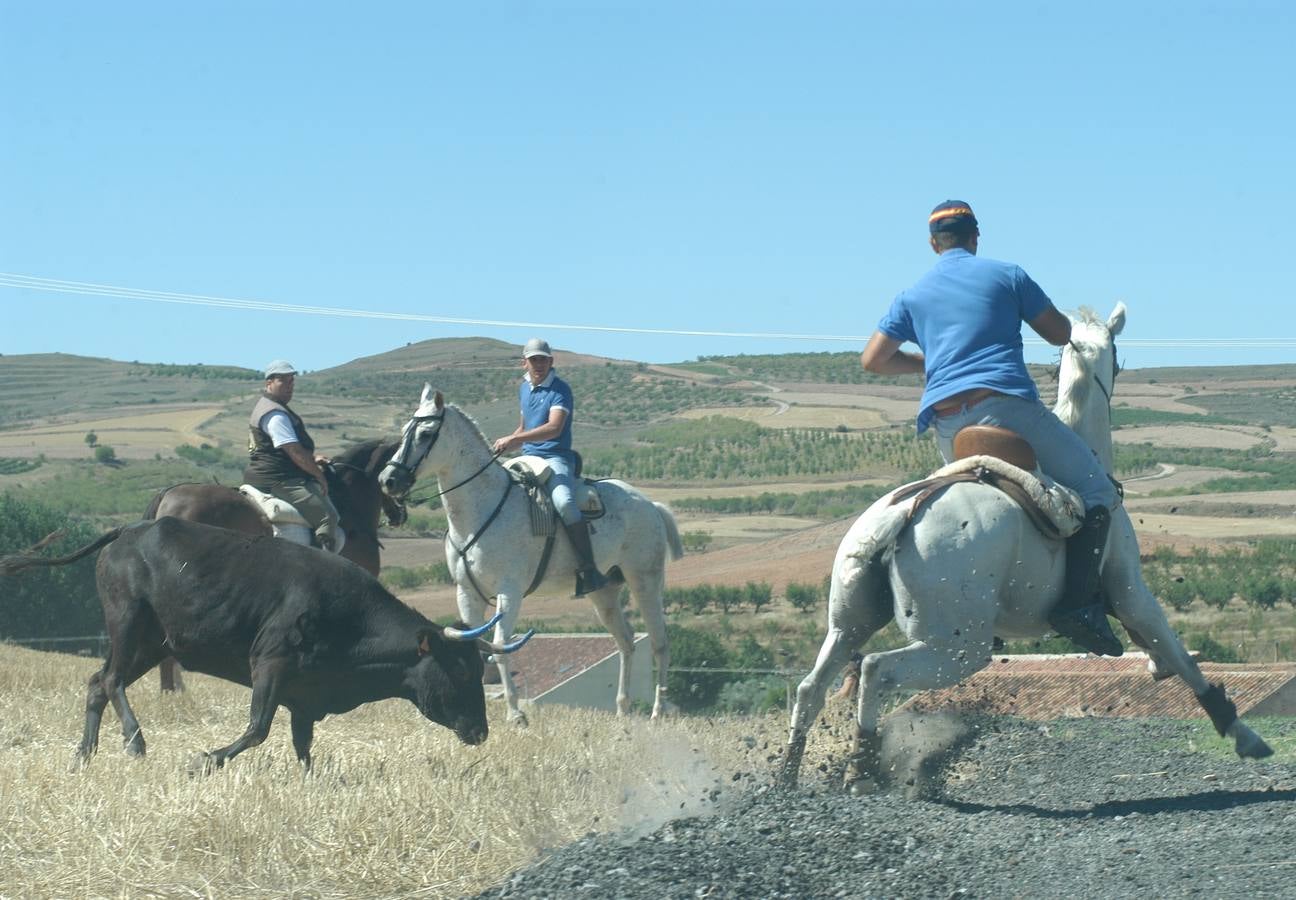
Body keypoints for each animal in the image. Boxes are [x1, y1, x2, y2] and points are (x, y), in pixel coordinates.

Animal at [2, 518, 531, 772]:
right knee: (110, 680)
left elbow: (303, 747)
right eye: (460, 671)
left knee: (97, 682)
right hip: (128, 623)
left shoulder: (305, 698)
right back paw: (134, 742)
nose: (480, 732)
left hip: (154, 642)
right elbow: (257, 729)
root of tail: (129, 531)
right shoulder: (270, 665)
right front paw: (205, 761)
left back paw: (83, 756)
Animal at [378, 389, 684, 726]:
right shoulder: (466, 592)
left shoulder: (509, 592)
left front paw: (515, 714)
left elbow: (500, 646)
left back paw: (657, 712)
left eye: (425, 434)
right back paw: (622, 709)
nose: (388, 480)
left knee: (659, 642)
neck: (481, 509)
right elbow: (474, 644)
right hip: (604, 592)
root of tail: (650, 505)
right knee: (626, 642)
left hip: (645, 580)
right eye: (404, 431)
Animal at [782, 304, 1270, 788]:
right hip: (958, 648)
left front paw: (1158, 667)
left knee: (812, 687)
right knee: (875, 671)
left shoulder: (1122, 600)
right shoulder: (1132, 592)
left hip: (849, 625)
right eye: (1116, 353)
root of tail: (900, 516)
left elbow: (1161, 649)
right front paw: (1240, 732)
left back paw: (789, 776)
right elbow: (1180, 656)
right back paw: (861, 770)